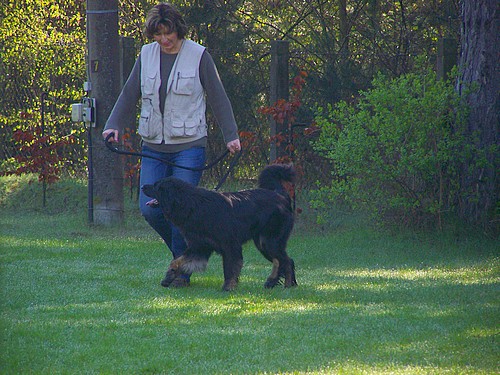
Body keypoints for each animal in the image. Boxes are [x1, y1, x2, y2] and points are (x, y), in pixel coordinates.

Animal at [141, 164, 296, 290]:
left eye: (156, 186)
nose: (142, 186)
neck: (192, 205)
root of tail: (280, 194)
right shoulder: (200, 246)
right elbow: (177, 261)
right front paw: (169, 276)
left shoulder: (229, 245)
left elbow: (229, 267)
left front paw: (229, 286)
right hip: (263, 242)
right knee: (280, 260)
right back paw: (273, 282)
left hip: (270, 241)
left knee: (287, 261)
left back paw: (288, 285)